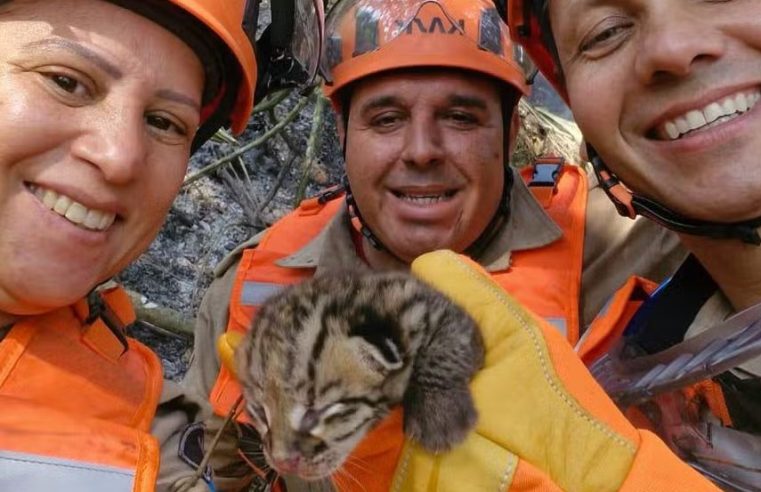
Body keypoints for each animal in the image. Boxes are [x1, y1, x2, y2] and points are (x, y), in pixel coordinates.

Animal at [235, 270, 484, 480]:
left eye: (317, 413)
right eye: (259, 412)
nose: (282, 463)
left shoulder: (438, 310)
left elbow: (446, 344)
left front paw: (440, 414)